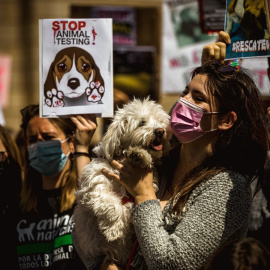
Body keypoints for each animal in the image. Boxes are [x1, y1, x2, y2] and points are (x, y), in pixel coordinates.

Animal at [74, 96, 171, 266]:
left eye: (160, 121)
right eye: (142, 122)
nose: (160, 131)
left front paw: (140, 156)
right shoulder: (94, 187)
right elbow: (111, 205)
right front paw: (113, 231)